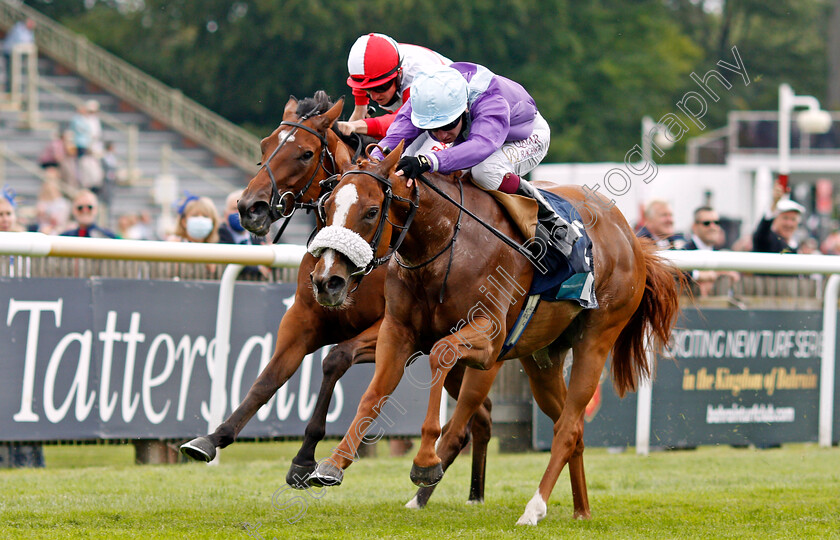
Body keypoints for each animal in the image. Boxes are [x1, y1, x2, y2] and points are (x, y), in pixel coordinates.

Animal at [178, 90, 492, 508]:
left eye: (306, 153)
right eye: (265, 145)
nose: (249, 208)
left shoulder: (390, 329)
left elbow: (335, 359)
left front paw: (304, 459)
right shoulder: (303, 317)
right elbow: (268, 378)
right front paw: (213, 438)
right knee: (483, 414)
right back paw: (465, 493)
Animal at [306, 141, 684, 524]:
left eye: (371, 212)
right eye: (327, 206)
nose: (327, 281)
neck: (444, 243)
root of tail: (632, 237)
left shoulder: (489, 341)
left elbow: (441, 354)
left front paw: (426, 461)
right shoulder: (397, 332)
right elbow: (373, 394)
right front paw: (333, 463)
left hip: (596, 339)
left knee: (566, 428)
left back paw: (533, 508)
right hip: (542, 359)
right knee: (572, 426)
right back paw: (581, 510)